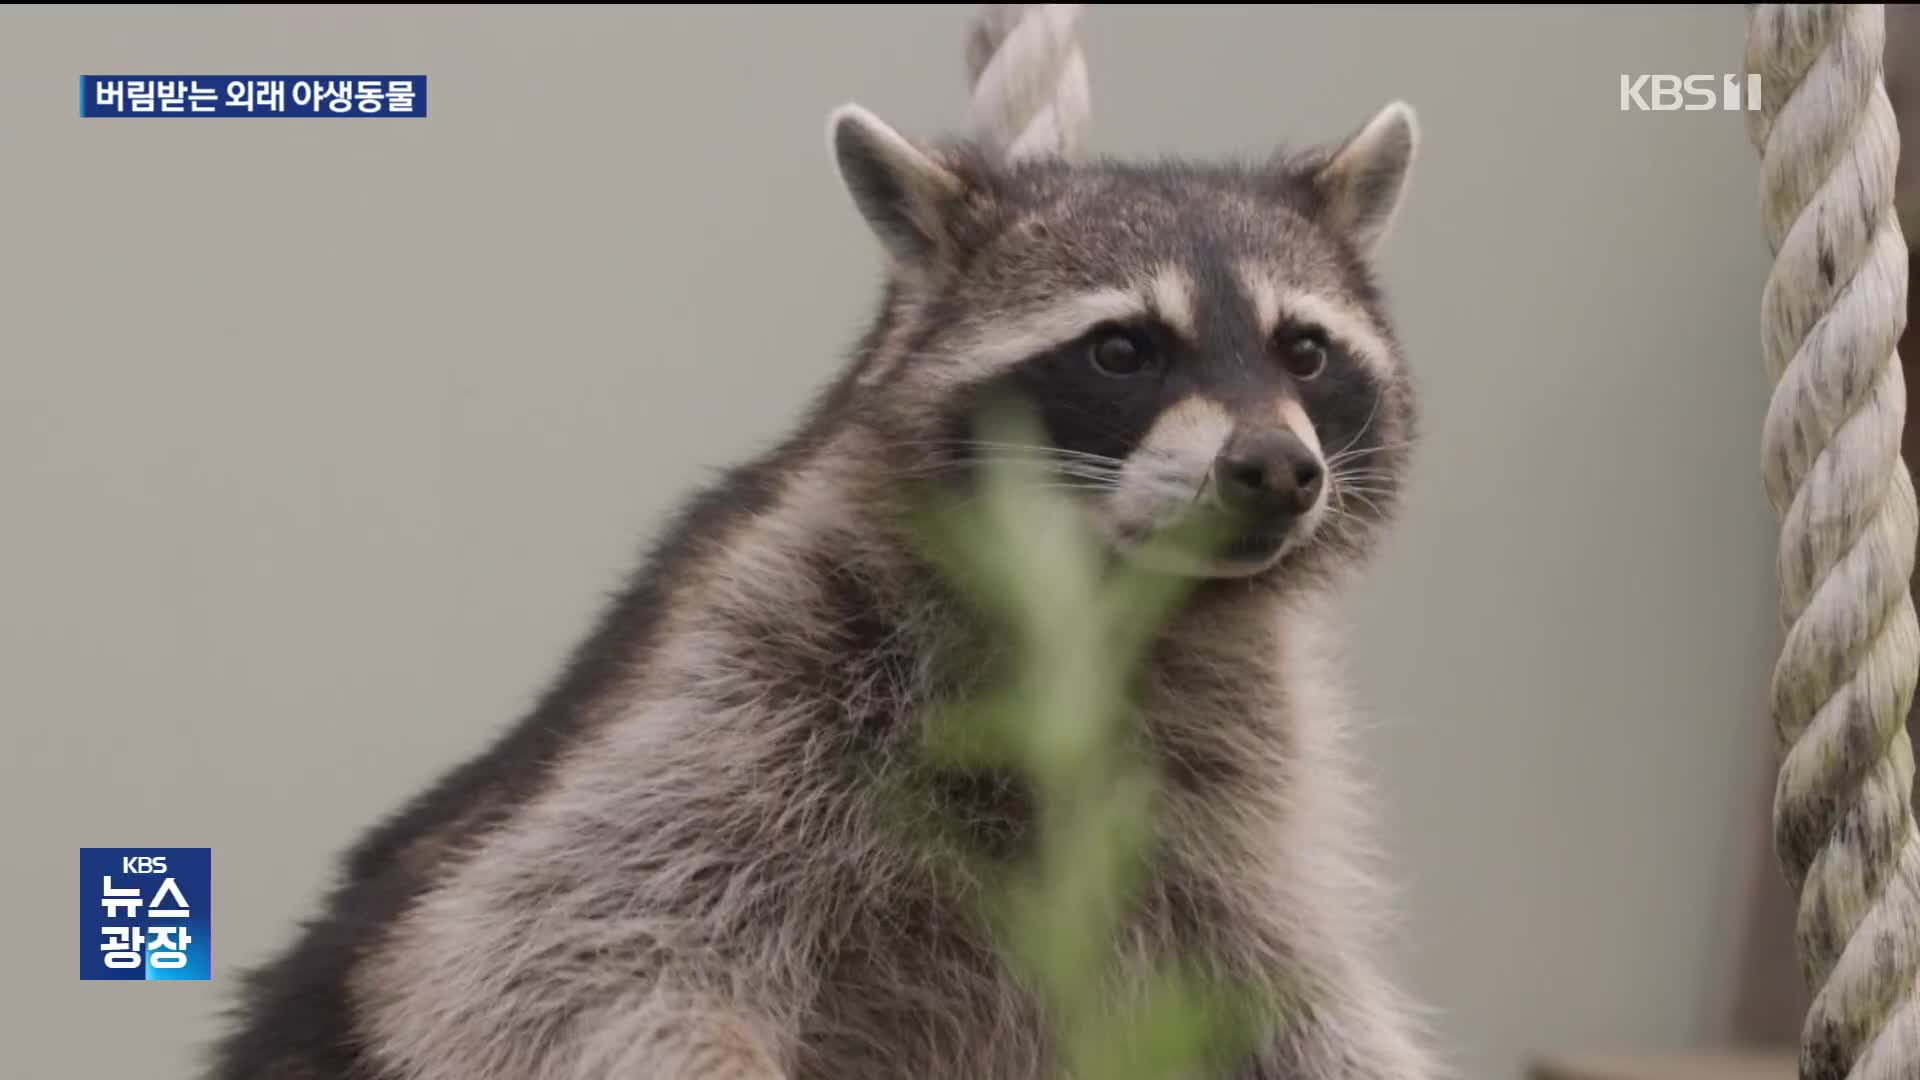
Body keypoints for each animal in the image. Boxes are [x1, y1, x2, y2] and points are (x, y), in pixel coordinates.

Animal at [206, 92, 1443, 1076]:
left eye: (1304, 351)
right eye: (1123, 351)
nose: (1277, 468)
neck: (1114, 590)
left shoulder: (1229, 761)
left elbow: (1281, 993)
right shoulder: (762, 653)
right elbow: (544, 948)